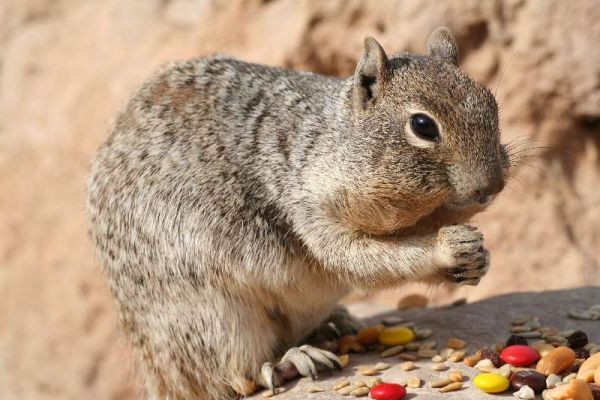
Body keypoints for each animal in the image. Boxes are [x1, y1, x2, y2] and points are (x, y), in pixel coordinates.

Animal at [88, 26, 510, 398]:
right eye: (422, 125)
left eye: (491, 102)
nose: (491, 186)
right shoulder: (311, 213)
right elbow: (364, 260)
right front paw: (448, 247)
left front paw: (478, 257)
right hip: (213, 318)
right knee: (230, 376)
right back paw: (289, 360)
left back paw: (333, 325)